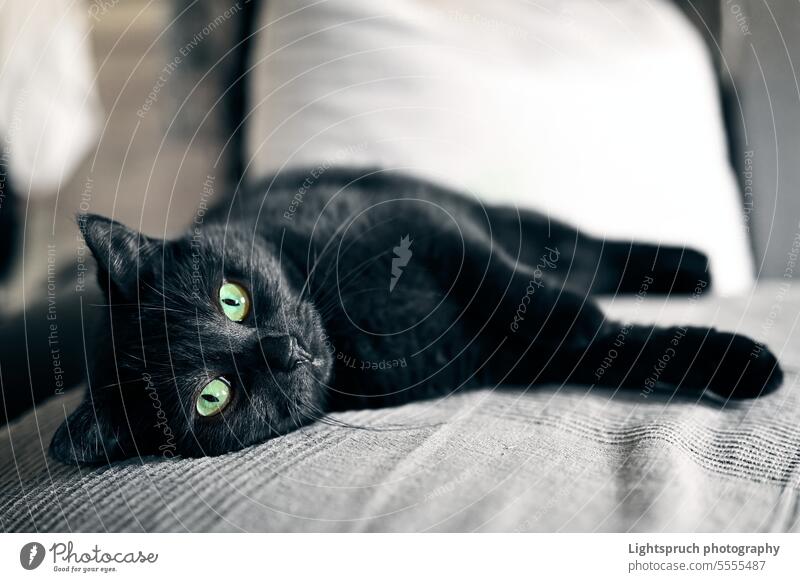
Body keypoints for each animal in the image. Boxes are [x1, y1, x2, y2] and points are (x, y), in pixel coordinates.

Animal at [6, 168, 780, 466]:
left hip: (492, 213)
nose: (282, 350)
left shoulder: (423, 226)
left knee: (580, 252)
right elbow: (617, 351)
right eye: (212, 397)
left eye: (233, 298)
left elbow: (522, 294)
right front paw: (746, 365)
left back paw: (694, 267)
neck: (350, 331)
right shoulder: (505, 360)